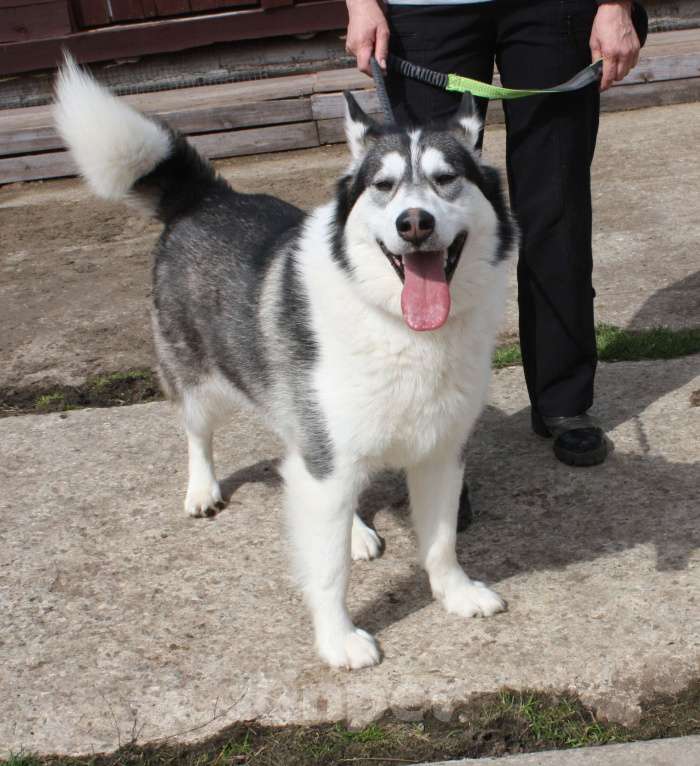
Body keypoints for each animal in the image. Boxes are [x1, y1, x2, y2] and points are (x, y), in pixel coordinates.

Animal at [53, 58, 516, 672]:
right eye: (383, 186)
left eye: (447, 178)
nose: (413, 222)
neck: (399, 327)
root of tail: (208, 197)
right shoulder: (328, 455)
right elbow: (326, 571)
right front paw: (338, 639)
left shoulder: (440, 448)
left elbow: (440, 540)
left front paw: (455, 592)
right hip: (200, 381)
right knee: (198, 433)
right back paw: (203, 488)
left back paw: (353, 530)